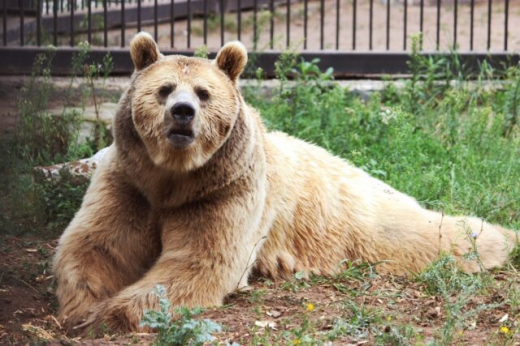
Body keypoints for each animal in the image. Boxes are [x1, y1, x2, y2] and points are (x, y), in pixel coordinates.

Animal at [51, 32, 516, 332]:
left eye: (203, 93)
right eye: (164, 89)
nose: (182, 113)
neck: (174, 178)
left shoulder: (227, 190)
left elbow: (200, 261)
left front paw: (109, 315)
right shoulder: (129, 183)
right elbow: (98, 244)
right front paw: (80, 309)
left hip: (355, 215)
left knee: (424, 233)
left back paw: (499, 238)